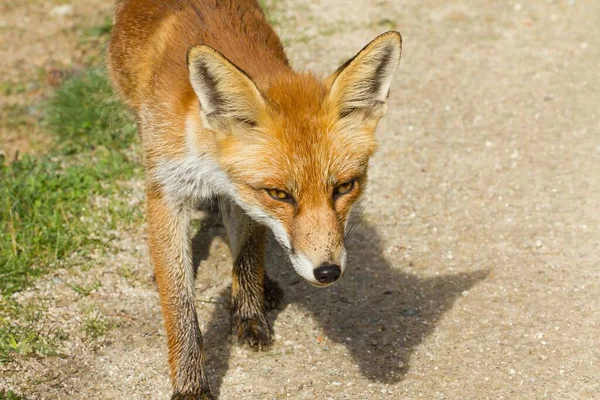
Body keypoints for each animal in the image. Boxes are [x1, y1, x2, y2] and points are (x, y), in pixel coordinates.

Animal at [108, 0, 404, 396]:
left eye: (344, 187)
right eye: (279, 194)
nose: (327, 272)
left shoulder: (242, 195)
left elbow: (247, 254)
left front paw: (248, 315)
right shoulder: (167, 189)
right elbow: (180, 304)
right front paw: (190, 384)